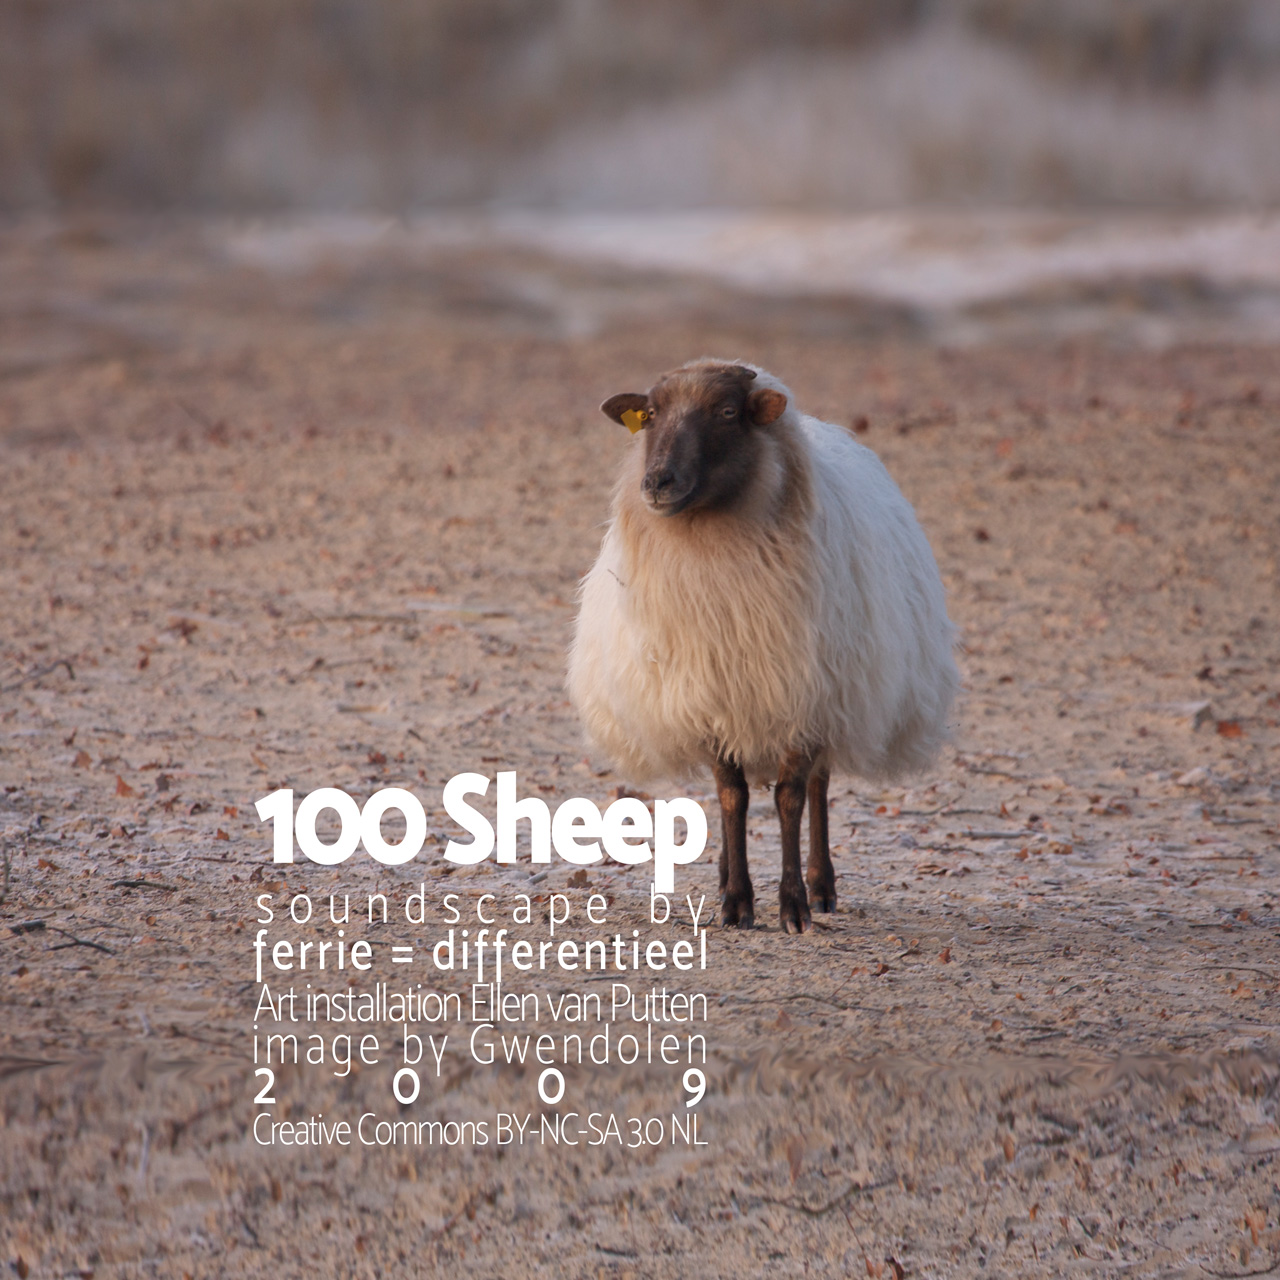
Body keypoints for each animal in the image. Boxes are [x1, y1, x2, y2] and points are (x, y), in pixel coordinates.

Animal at [568, 359, 958, 933]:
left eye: (728, 412)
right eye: (652, 414)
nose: (656, 481)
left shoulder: (804, 695)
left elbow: (790, 798)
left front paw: (793, 904)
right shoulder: (709, 695)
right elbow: (732, 797)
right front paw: (736, 900)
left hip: (834, 693)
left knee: (818, 786)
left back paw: (822, 886)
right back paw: (728, 875)